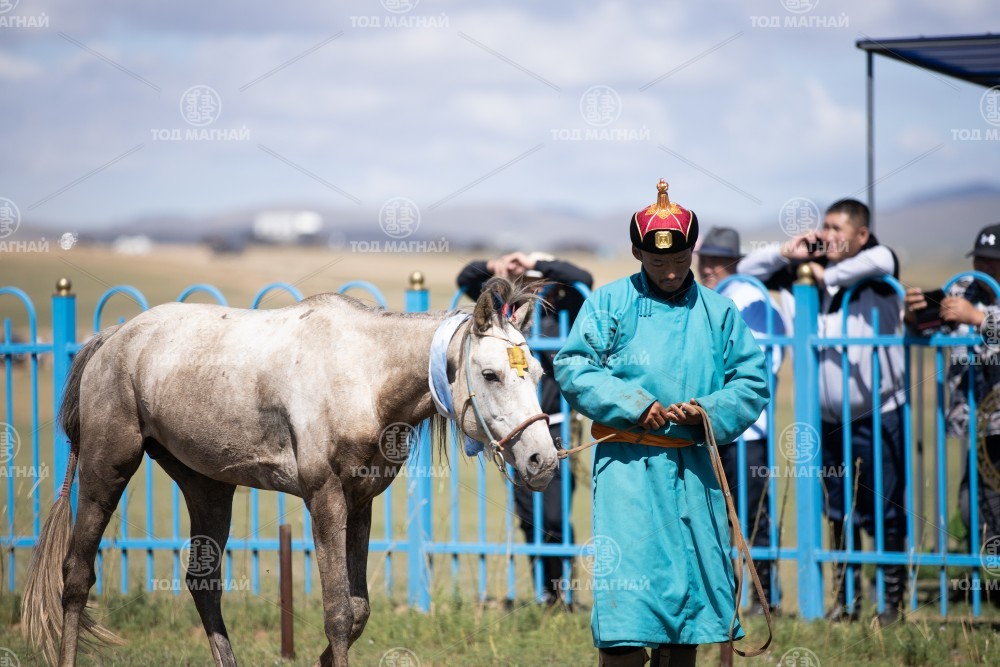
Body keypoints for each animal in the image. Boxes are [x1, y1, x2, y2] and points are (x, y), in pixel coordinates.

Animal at [22, 277, 559, 667]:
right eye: (490, 374)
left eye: (536, 373)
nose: (544, 461)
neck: (362, 374)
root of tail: (111, 338)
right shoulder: (325, 499)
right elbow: (338, 613)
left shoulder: (360, 503)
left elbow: (359, 610)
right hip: (105, 469)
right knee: (76, 575)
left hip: (207, 485)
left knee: (203, 583)